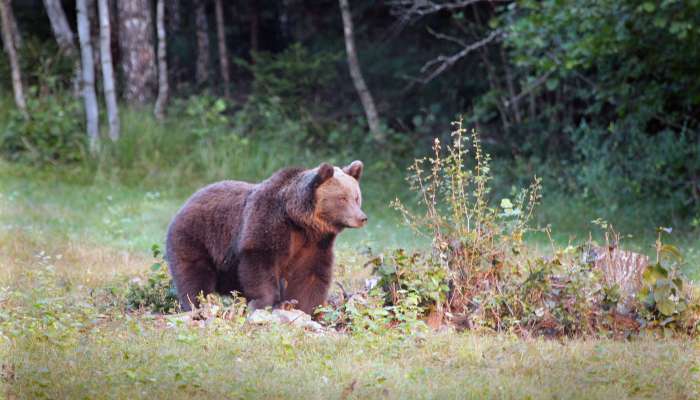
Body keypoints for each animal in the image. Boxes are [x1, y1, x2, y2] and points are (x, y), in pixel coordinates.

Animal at [165, 161, 366, 314]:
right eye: (342, 198)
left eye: (357, 197)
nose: (361, 217)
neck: (299, 222)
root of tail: (188, 200)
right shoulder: (268, 222)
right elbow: (260, 265)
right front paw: (268, 303)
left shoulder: (315, 244)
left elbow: (310, 275)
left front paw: (306, 308)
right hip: (196, 237)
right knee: (194, 276)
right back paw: (198, 304)